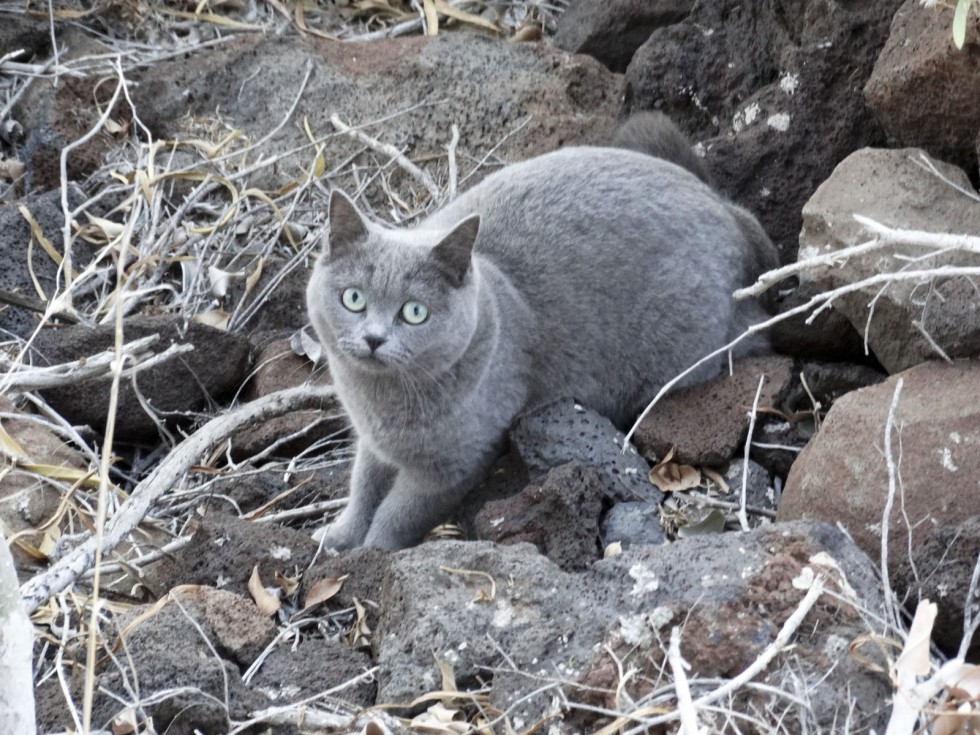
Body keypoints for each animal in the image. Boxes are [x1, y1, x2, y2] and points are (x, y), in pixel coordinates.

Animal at [310, 113, 776, 552]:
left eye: (414, 312)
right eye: (353, 299)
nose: (373, 338)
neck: (380, 400)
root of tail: (729, 212)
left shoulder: (451, 466)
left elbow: (398, 512)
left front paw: (372, 551)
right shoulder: (372, 442)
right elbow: (362, 487)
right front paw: (339, 535)